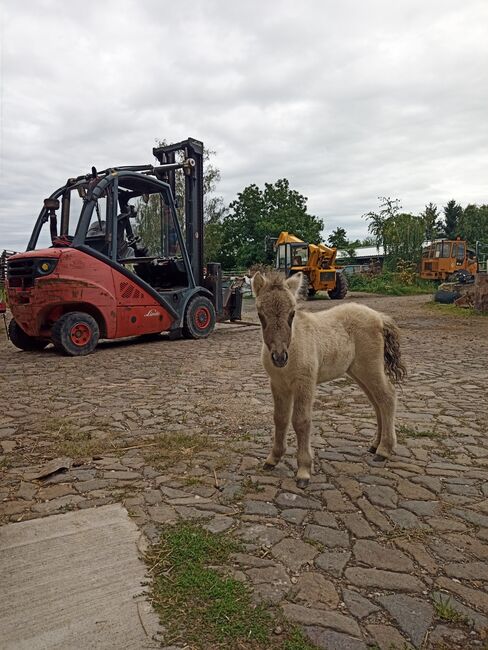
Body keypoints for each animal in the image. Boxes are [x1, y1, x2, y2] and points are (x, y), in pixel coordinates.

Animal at [250, 268, 406, 486]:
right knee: (377, 403)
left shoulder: (305, 383)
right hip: (358, 372)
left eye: (292, 314)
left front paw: (304, 470)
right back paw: (375, 445)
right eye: (260, 315)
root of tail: (379, 316)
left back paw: (384, 450)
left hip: (370, 367)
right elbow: (280, 419)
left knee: (388, 397)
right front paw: (273, 458)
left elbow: (301, 421)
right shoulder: (278, 384)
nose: (279, 357)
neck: (294, 346)